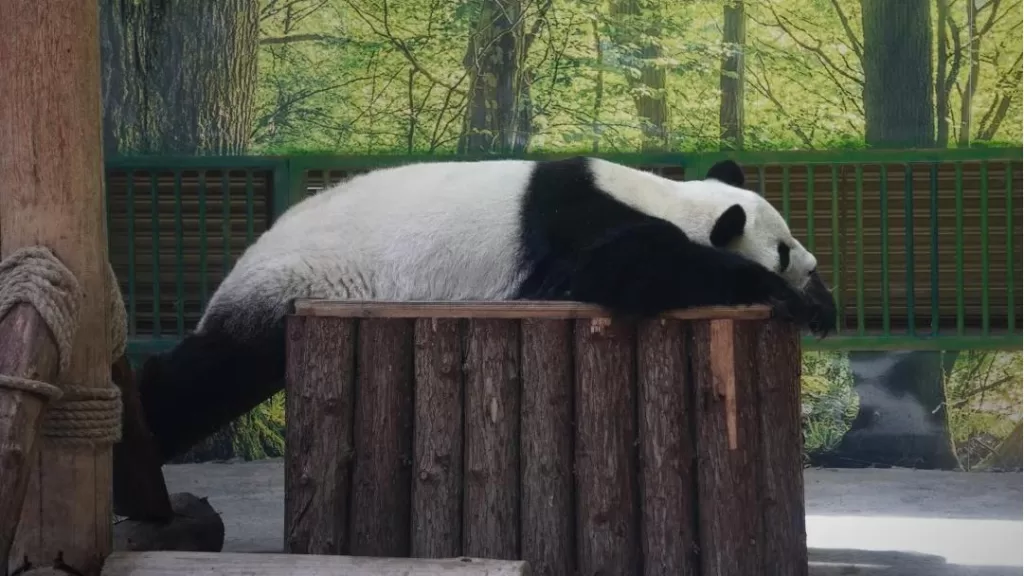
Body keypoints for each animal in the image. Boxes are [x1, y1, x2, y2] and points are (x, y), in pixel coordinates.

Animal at [136, 156, 836, 462]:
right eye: (781, 248)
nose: (811, 270)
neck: (661, 195)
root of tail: (248, 254)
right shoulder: (574, 227)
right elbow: (623, 271)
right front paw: (784, 298)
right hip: (301, 281)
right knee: (214, 372)